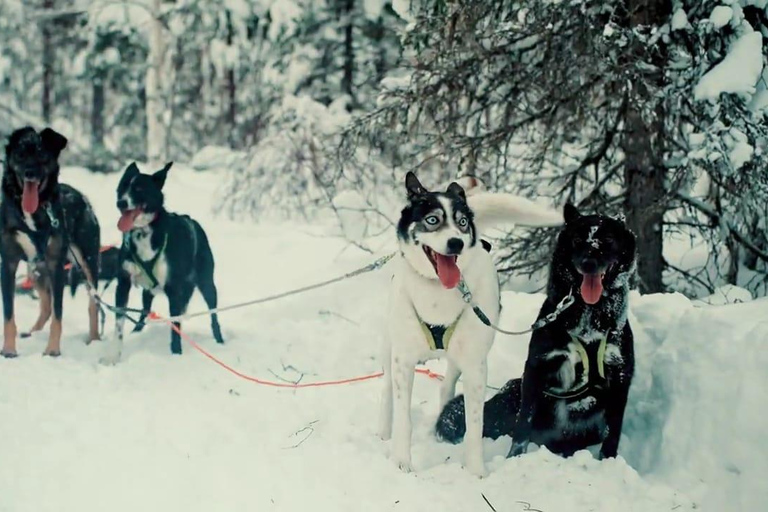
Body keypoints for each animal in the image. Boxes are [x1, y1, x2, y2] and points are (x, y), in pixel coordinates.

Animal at [0, 127, 101, 356]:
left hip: (87, 261)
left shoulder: (56, 266)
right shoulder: (8, 263)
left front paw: (52, 350)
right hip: (34, 268)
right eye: (20, 154)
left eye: (42, 155)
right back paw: (32, 333)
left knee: (93, 303)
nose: (30, 173)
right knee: (45, 305)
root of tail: (83, 198)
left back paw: (94, 339)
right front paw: (9, 350)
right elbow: (9, 315)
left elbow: (58, 314)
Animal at [103, 161, 222, 360]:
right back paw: (137, 330)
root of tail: (194, 223)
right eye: (122, 187)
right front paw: (112, 356)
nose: (121, 202)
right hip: (148, 291)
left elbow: (175, 326)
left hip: (207, 285)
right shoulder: (123, 284)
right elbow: (119, 324)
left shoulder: (174, 289)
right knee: (144, 311)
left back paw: (219, 340)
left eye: (139, 188)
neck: (143, 232)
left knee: (213, 316)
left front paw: (176, 355)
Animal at [380, 173, 560, 476]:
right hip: (388, 346)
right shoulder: (403, 360)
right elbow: (403, 417)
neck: (437, 295)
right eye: (433, 220)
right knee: (386, 390)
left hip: (459, 355)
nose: (457, 243)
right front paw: (401, 461)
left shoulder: (475, 365)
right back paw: (383, 431)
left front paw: (475, 471)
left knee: (447, 386)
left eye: (462, 222)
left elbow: (475, 424)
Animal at [438, 204, 636, 460]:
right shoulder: (535, 368)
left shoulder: (620, 376)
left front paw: (608, 460)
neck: (587, 314)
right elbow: (523, 423)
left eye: (609, 239)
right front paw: (514, 458)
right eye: (577, 239)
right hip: (513, 391)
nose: (588, 263)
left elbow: (614, 430)